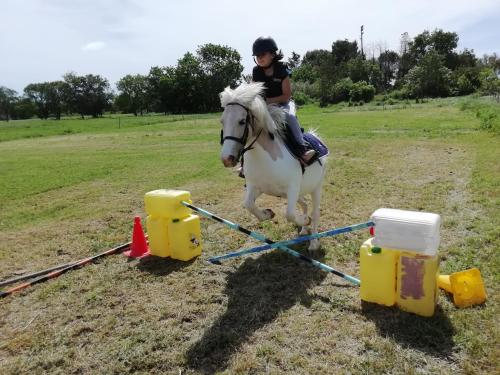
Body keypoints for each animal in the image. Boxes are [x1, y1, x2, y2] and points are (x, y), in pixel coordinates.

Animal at [219, 82, 328, 253]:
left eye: (242, 121)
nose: (226, 159)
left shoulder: (292, 188)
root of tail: (316, 137)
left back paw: (313, 243)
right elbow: (248, 204)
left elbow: (289, 214)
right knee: (304, 204)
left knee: (315, 213)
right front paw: (268, 214)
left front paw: (304, 221)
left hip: (316, 188)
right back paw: (304, 230)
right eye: (222, 121)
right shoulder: (255, 187)